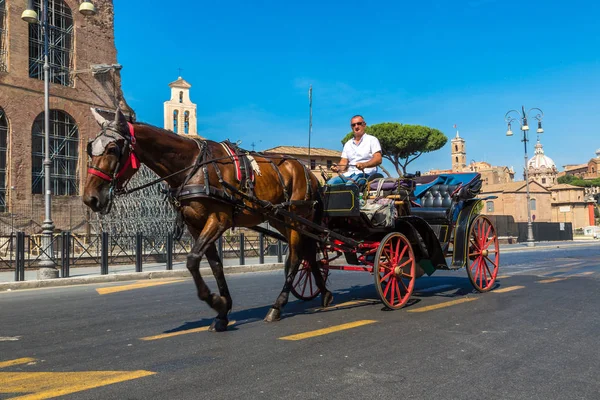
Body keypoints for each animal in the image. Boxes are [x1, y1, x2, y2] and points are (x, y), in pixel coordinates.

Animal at [81, 108, 330, 332]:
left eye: (113, 149)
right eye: (90, 149)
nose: (90, 198)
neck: (192, 166)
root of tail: (308, 172)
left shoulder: (218, 220)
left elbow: (192, 260)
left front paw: (215, 301)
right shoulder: (195, 225)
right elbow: (215, 265)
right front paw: (223, 311)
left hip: (297, 218)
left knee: (296, 257)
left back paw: (278, 306)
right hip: (281, 218)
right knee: (308, 253)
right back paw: (324, 293)